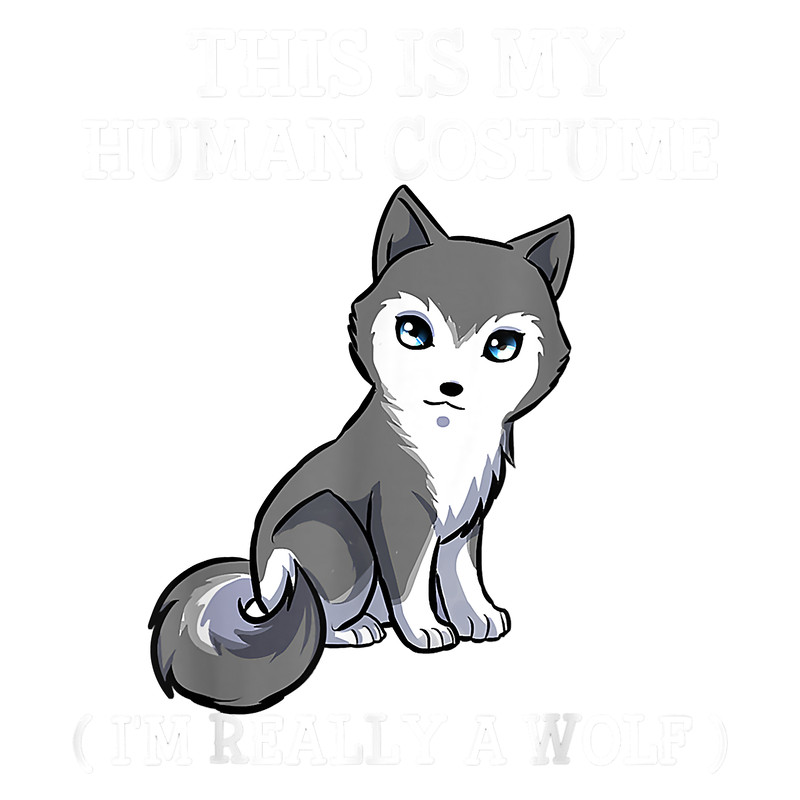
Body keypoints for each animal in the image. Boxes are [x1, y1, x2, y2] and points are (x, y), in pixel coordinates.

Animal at [149, 186, 574, 712]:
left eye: (501, 346)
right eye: (414, 332)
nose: (451, 386)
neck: (446, 442)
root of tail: (256, 592)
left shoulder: (465, 520)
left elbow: (461, 575)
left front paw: (477, 618)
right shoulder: (401, 513)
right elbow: (410, 582)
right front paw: (428, 629)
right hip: (335, 529)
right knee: (318, 618)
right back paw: (356, 630)